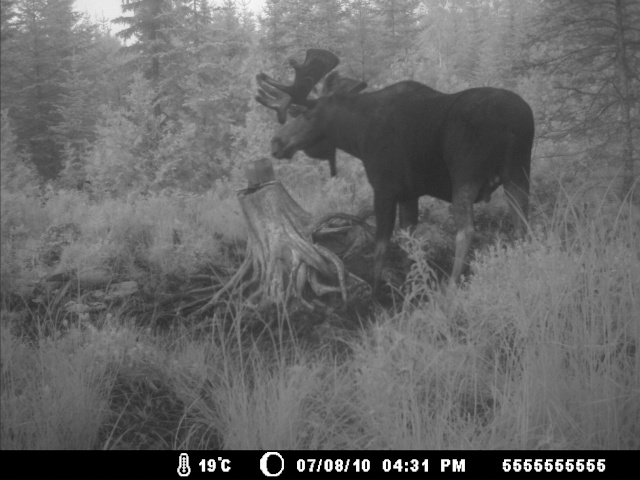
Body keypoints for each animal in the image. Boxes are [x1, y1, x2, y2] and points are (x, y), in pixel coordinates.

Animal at [256, 49, 536, 296]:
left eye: (305, 113)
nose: (276, 142)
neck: (357, 135)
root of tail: (515, 119)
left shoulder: (384, 189)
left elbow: (381, 248)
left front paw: (376, 298)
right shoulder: (409, 194)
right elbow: (409, 245)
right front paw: (414, 288)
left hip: (466, 173)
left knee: (466, 230)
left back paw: (452, 285)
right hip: (519, 170)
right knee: (521, 221)